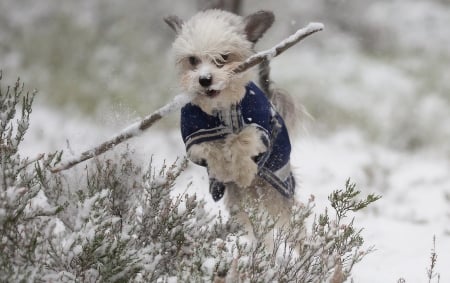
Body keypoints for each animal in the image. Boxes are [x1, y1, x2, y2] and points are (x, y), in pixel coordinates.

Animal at [165, 8, 298, 244]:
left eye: (223, 58)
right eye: (193, 60)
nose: (205, 79)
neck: (221, 108)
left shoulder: (261, 128)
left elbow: (241, 139)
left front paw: (243, 170)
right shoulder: (194, 137)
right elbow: (212, 148)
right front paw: (224, 168)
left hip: (278, 193)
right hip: (241, 206)